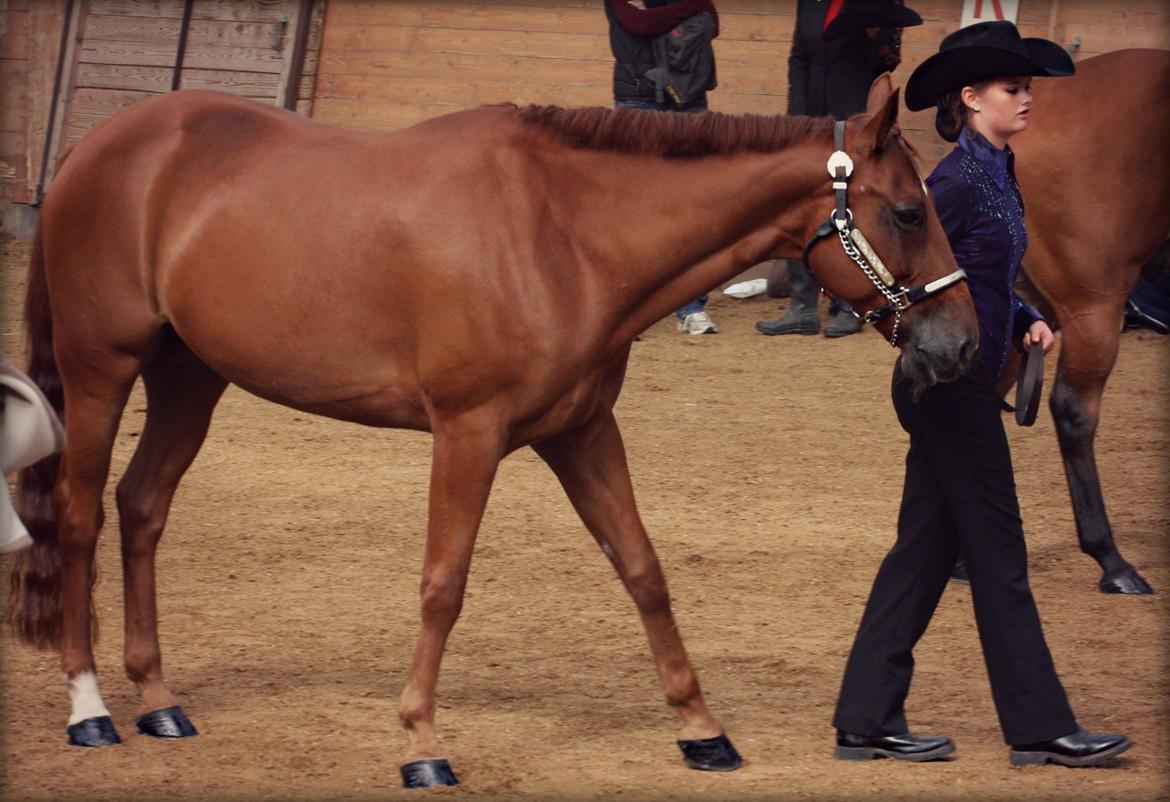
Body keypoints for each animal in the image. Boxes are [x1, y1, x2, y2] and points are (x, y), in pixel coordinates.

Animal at [9, 76, 973, 786]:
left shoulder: (582, 431)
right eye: (909, 211)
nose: (961, 342)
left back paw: (159, 699)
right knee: (83, 516)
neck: (561, 233)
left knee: (142, 507)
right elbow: (444, 585)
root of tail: (99, 143)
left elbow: (643, 570)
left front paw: (702, 729)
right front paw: (421, 744)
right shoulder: (467, 434)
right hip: (102, 371)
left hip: (189, 377)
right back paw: (91, 709)